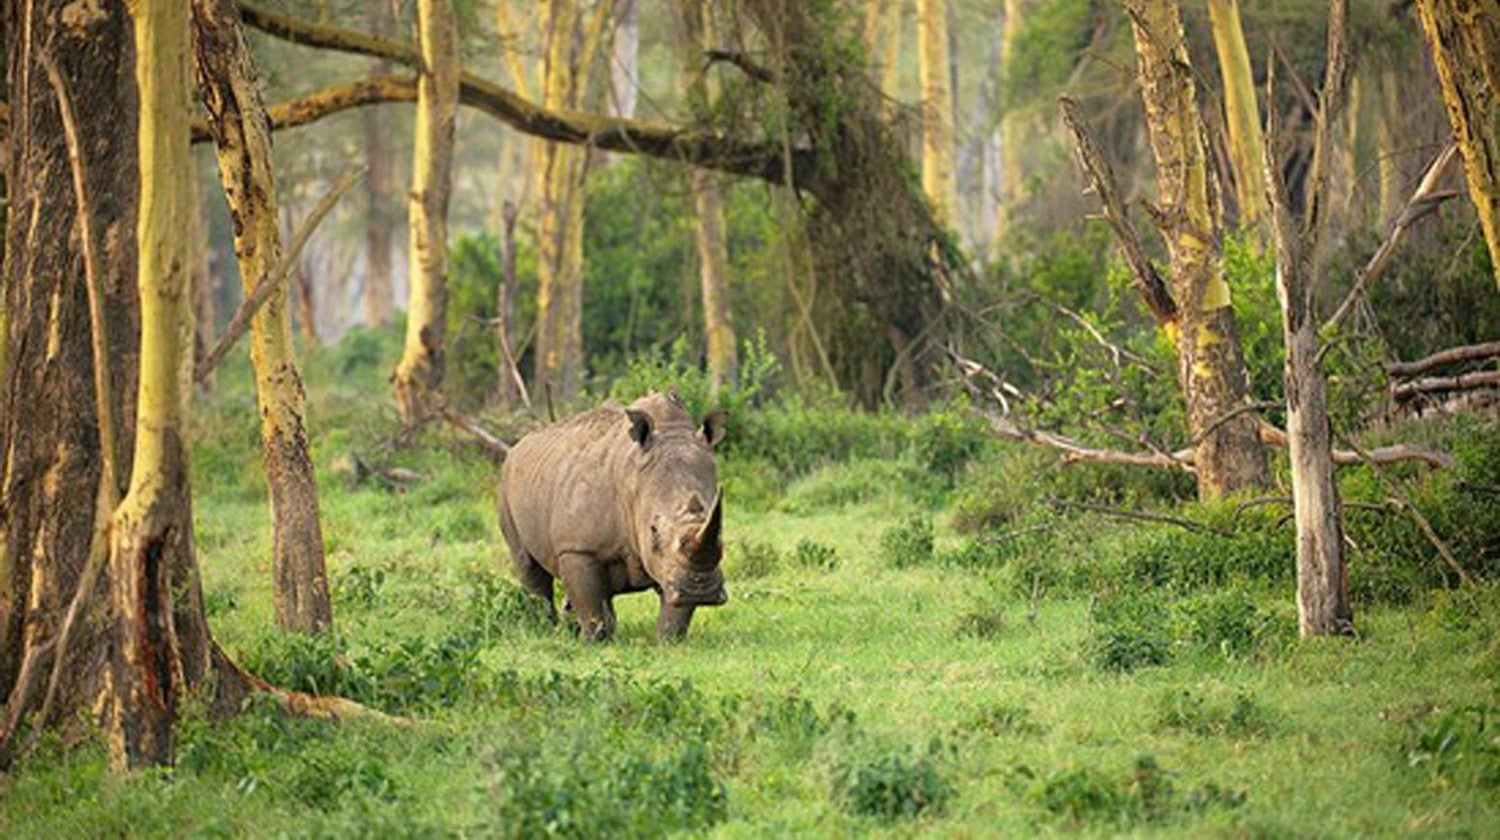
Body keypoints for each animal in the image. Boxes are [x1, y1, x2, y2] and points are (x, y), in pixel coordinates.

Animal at [495, 390, 729, 639]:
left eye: (721, 535)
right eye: (653, 531)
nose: (700, 590)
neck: (632, 482)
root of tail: (516, 446)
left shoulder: (675, 570)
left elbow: (676, 605)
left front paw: (668, 640)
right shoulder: (578, 548)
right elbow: (590, 604)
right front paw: (593, 640)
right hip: (506, 484)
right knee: (527, 564)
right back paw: (543, 629)